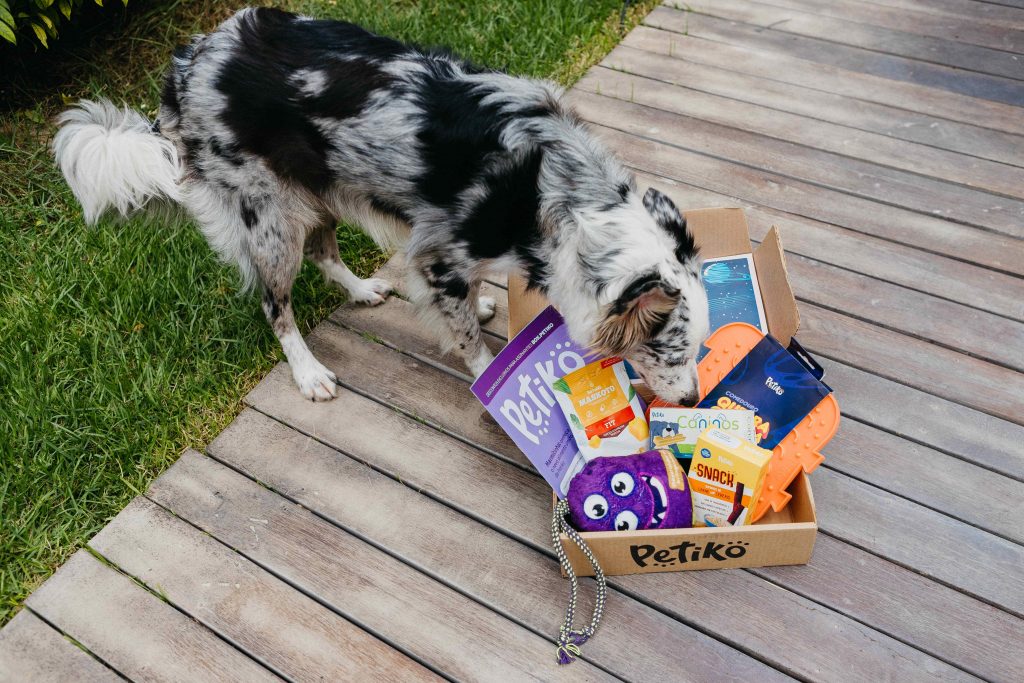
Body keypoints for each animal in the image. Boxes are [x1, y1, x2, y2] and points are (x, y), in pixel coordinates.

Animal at [54, 7, 704, 403]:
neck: (553, 196)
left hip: (318, 188)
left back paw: (363, 290)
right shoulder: (438, 254)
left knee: (323, 251)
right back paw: (309, 373)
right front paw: (485, 369)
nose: (694, 398)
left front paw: (482, 304)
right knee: (274, 303)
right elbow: (469, 342)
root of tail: (188, 62)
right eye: (668, 348)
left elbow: (469, 301)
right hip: (271, 220)